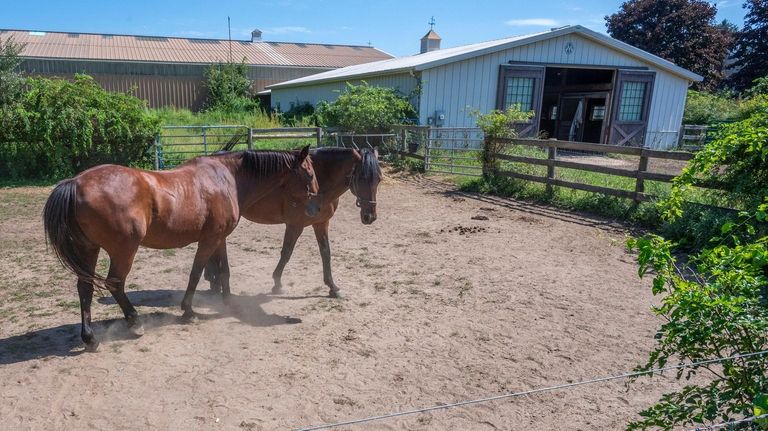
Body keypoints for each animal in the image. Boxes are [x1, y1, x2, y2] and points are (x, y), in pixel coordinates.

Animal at [42, 148, 320, 352]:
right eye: (308, 173)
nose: (316, 208)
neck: (226, 178)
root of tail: (76, 183)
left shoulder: (219, 239)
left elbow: (224, 271)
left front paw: (229, 303)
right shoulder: (209, 240)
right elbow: (196, 273)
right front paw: (188, 310)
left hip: (88, 249)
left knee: (85, 288)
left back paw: (90, 337)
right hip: (123, 251)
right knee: (115, 284)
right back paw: (135, 322)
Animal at [206, 147, 382, 298]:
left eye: (379, 179)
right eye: (362, 178)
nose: (370, 216)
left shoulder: (321, 223)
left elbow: (326, 253)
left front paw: (333, 287)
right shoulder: (295, 225)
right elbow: (286, 253)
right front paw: (277, 284)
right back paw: (214, 281)